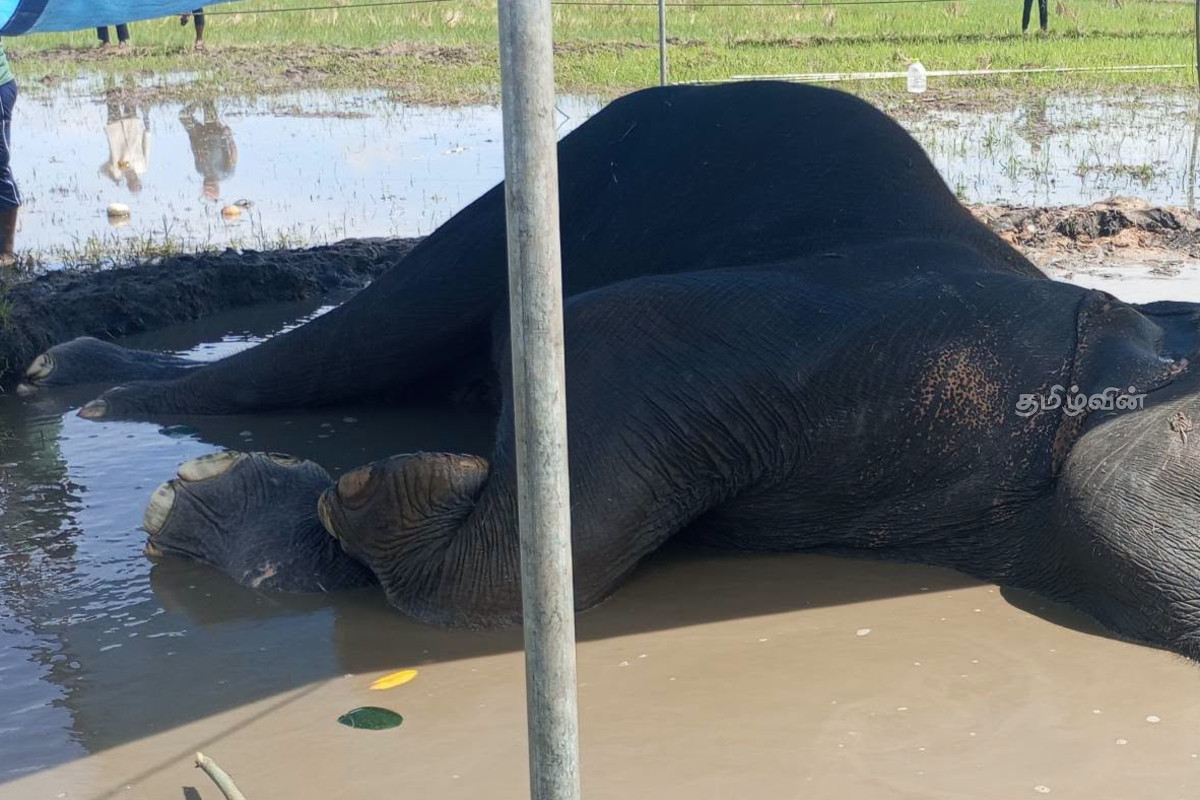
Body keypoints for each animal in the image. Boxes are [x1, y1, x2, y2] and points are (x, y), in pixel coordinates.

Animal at [22, 81, 1200, 659]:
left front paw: (281, 504)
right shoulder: (939, 339)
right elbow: (610, 338)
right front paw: (354, 490)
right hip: (550, 183)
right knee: (357, 337)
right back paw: (78, 381)